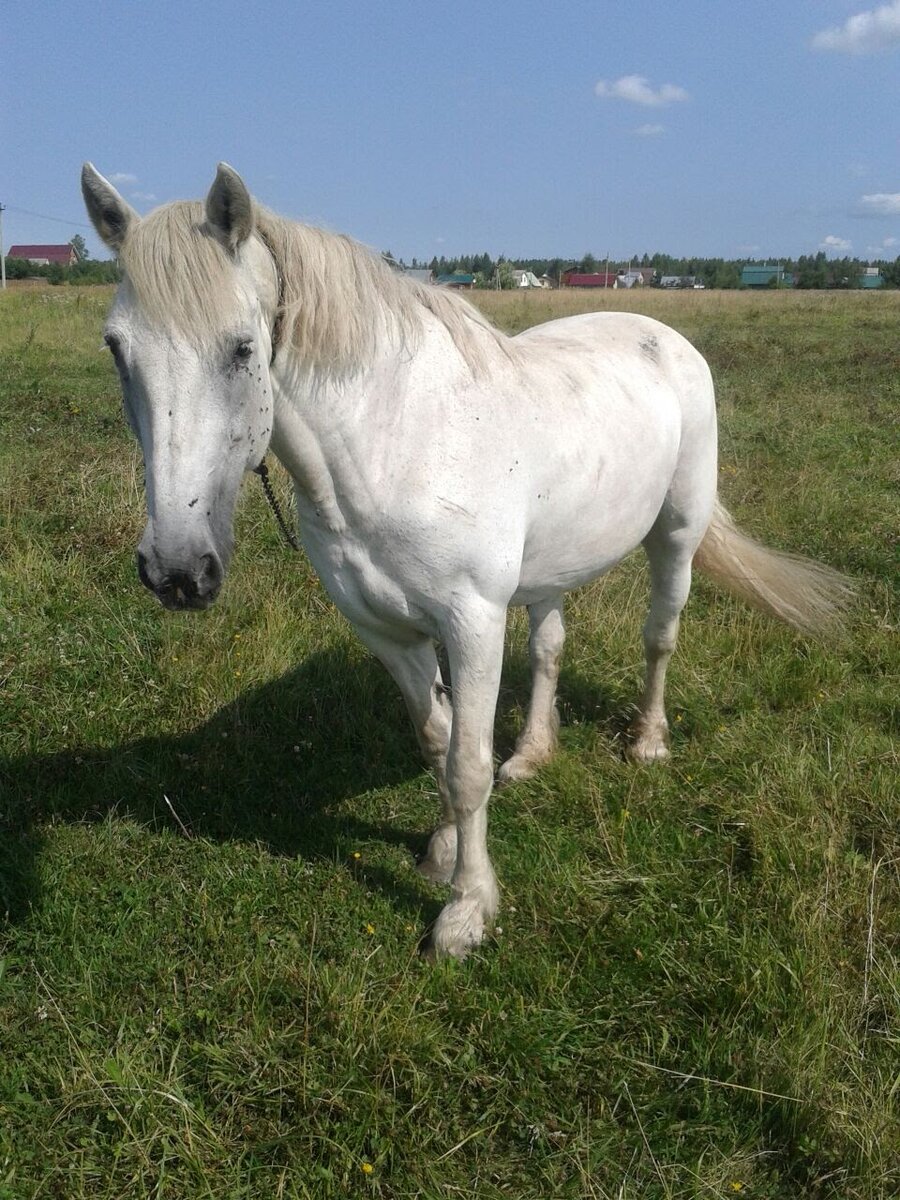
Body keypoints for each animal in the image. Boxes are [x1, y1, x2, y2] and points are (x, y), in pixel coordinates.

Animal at [81, 164, 849, 960]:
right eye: (115, 348)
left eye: (241, 348)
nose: (176, 569)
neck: (393, 442)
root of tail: (666, 337)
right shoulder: (386, 630)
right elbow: (437, 742)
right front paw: (442, 853)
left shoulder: (473, 622)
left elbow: (468, 765)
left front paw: (466, 910)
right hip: (549, 572)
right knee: (549, 648)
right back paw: (534, 754)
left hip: (676, 534)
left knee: (660, 637)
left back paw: (646, 742)